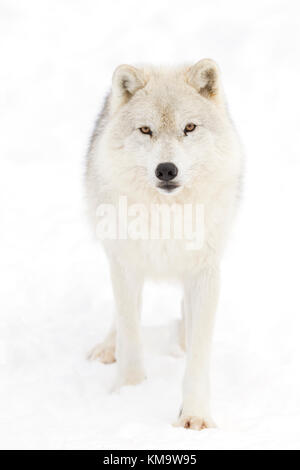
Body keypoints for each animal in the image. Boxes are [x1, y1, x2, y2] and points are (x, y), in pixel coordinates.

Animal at [85, 58, 244, 430]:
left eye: (190, 127)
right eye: (146, 130)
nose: (166, 170)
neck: (167, 216)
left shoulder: (204, 272)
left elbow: (199, 353)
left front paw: (195, 415)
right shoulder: (126, 265)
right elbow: (130, 332)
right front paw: (130, 391)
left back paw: (180, 341)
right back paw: (108, 347)